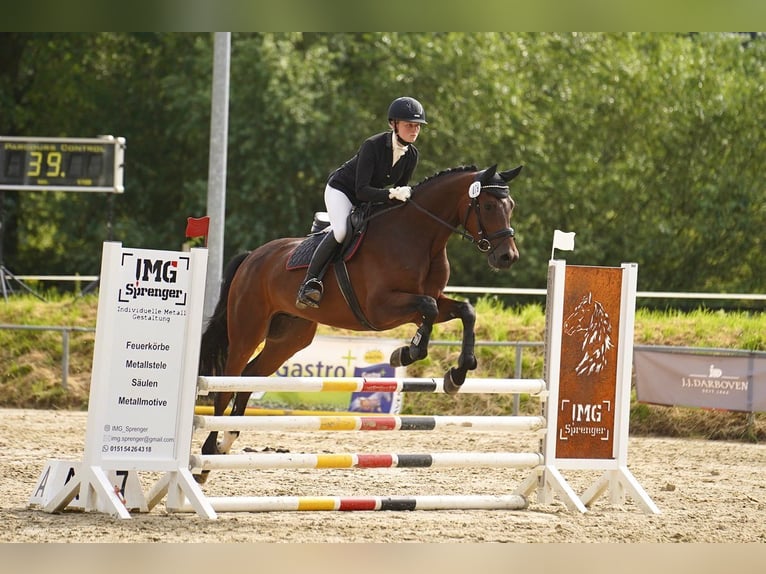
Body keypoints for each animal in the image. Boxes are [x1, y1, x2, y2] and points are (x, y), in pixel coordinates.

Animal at [195, 164, 524, 480]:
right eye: (489, 206)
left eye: (511, 205)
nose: (507, 257)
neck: (419, 237)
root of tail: (253, 256)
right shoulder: (381, 308)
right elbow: (428, 310)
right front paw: (408, 352)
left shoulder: (427, 300)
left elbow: (465, 311)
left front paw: (456, 374)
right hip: (247, 331)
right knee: (226, 385)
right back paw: (206, 458)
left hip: (289, 338)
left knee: (250, 377)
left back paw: (226, 442)